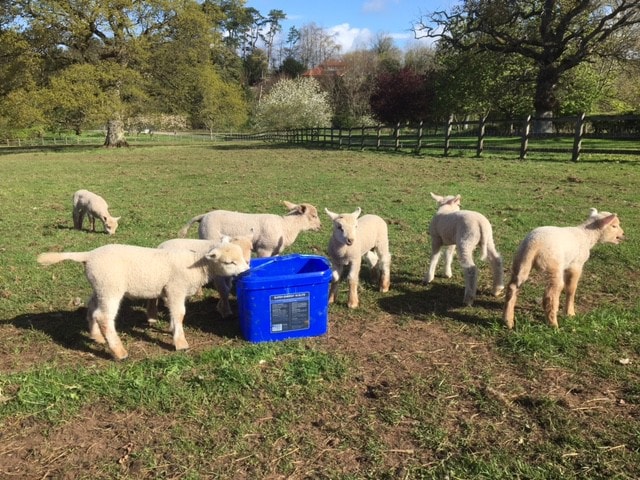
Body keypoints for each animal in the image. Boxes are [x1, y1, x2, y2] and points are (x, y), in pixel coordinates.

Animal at [35, 244, 250, 360]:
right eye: (229, 262)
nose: (247, 271)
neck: (197, 265)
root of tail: (90, 255)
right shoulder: (176, 288)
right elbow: (179, 313)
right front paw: (180, 342)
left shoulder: (169, 290)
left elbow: (173, 314)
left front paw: (172, 330)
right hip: (110, 286)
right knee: (104, 316)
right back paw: (119, 352)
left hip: (100, 286)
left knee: (92, 309)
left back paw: (96, 336)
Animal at [178, 201, 322, 256]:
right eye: (313, 216)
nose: (321, 226)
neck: (286, 226)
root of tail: (203, 216)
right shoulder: (264, 249)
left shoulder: (275, 251)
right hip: (209, 236)